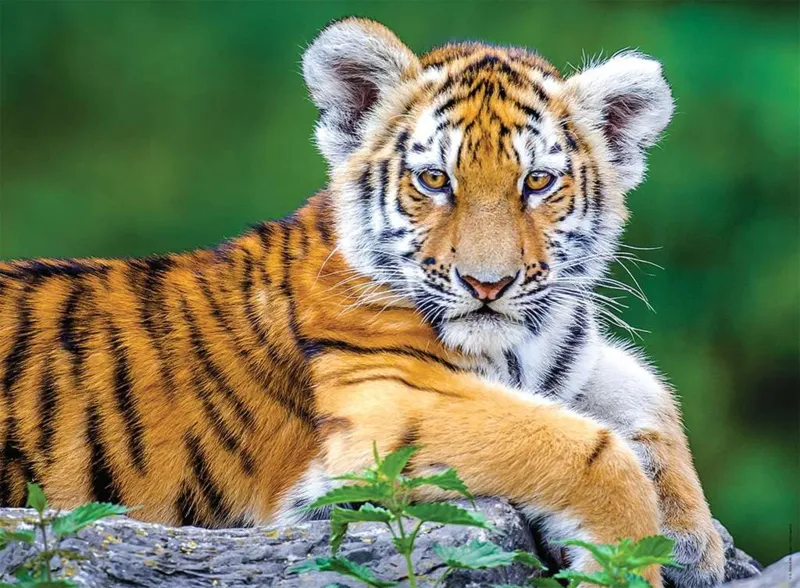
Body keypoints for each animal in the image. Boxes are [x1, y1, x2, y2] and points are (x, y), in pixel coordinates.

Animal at [0, 17, 726, 587]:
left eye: (538, 182)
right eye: (434, 179)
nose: (487, 285)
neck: (524, 343)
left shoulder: (572, 359)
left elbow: (648, 395)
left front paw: (695, 539)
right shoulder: (386, 406)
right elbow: (589, 449)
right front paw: (627, 561)